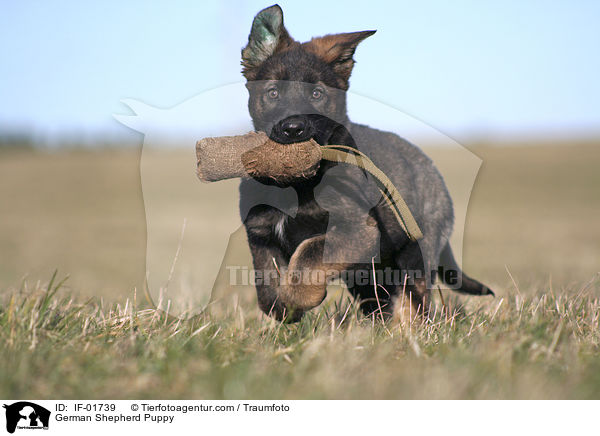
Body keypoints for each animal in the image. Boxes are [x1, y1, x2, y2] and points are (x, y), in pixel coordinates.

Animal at [239, 4, 492, 324]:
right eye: (273, 93)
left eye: (317, 94)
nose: (293, 128)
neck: (296, 184)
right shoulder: (260, 234)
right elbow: (266, 287)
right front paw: (285, 308)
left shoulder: (358, 229)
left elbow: (309, 251)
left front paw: (299, 298)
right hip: (370, 276)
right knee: (381, 303)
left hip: (414, 257)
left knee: (415, 303)